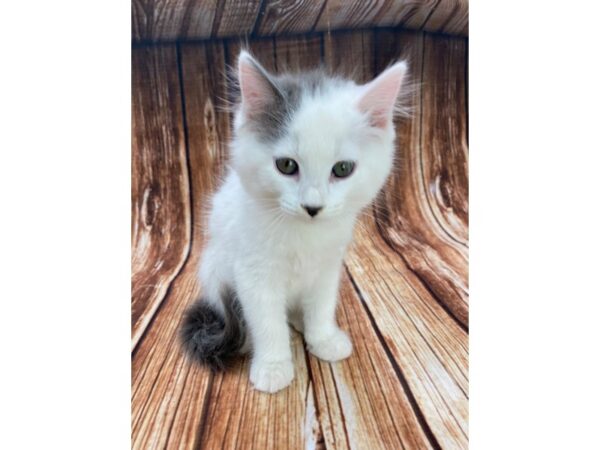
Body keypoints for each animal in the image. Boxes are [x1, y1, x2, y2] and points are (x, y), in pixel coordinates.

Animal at [182, 50, 408, 394]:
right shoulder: (253, 273)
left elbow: (321, 306)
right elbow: (267, 323)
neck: (304, 235)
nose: (312, 207)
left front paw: (323, 338)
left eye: (343, 169)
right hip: (214, 268)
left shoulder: (328, 266)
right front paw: (273, 366)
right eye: (286, 165)